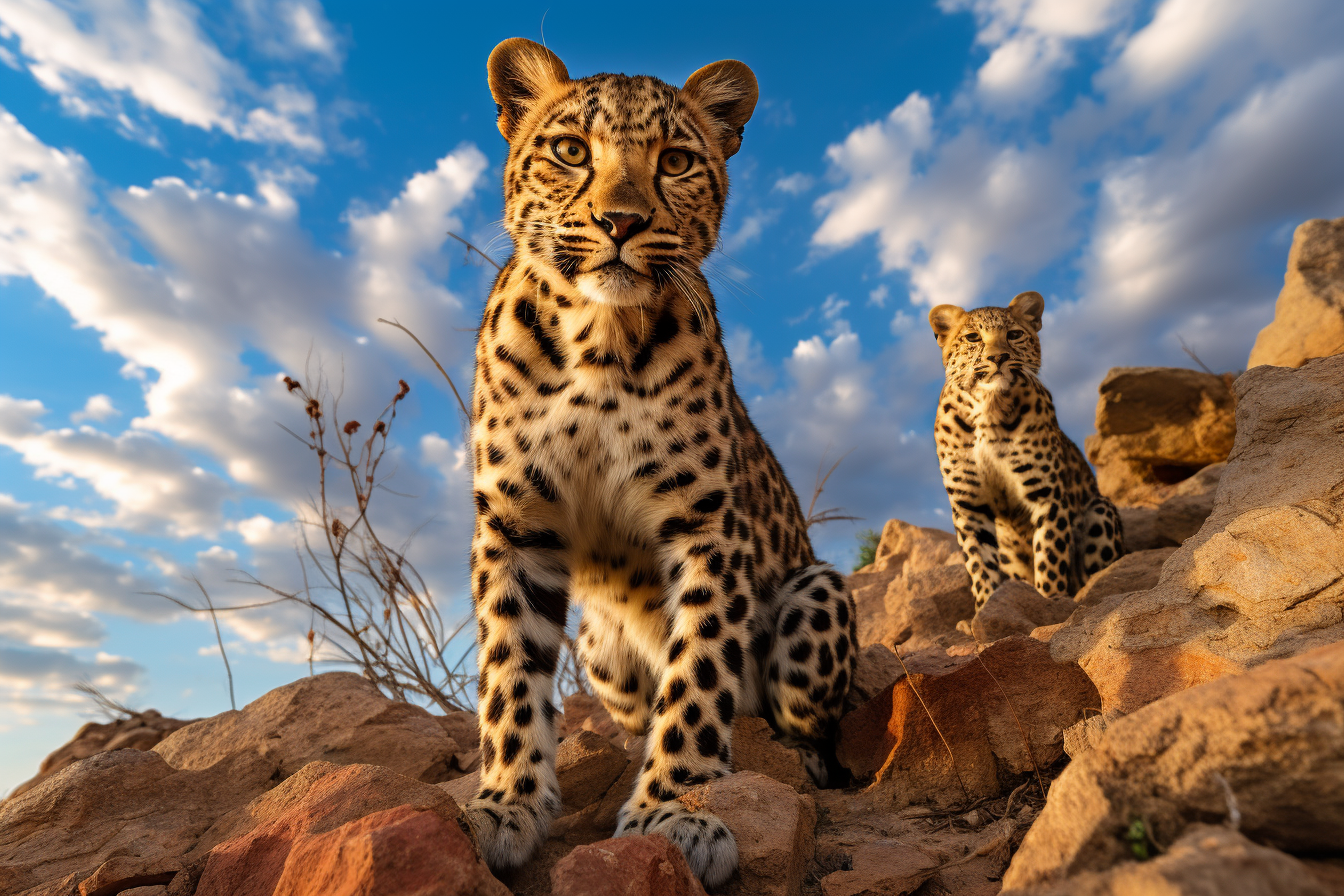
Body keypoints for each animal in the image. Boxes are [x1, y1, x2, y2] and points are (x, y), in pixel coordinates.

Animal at [462, 38, 854, 886]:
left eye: (675, 161)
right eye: (571, 151)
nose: (620, 221)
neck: (597, 343)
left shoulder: (706, 523)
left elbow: (698, 674)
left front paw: (675, 810)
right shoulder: (514, 522)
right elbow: (509, 673)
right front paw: (502, 804)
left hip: (817, 594)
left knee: (799, 721)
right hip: (602, 650)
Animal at [924, 292, 1123, 609]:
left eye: (1014, 335)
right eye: (973, 337)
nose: (998, 357)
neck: (988, 408)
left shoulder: (1046, 494)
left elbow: (1050, 554)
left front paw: (1049, 600)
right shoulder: (969, 504)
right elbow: (979, 564)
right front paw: (986, 609)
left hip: (1100, 508)